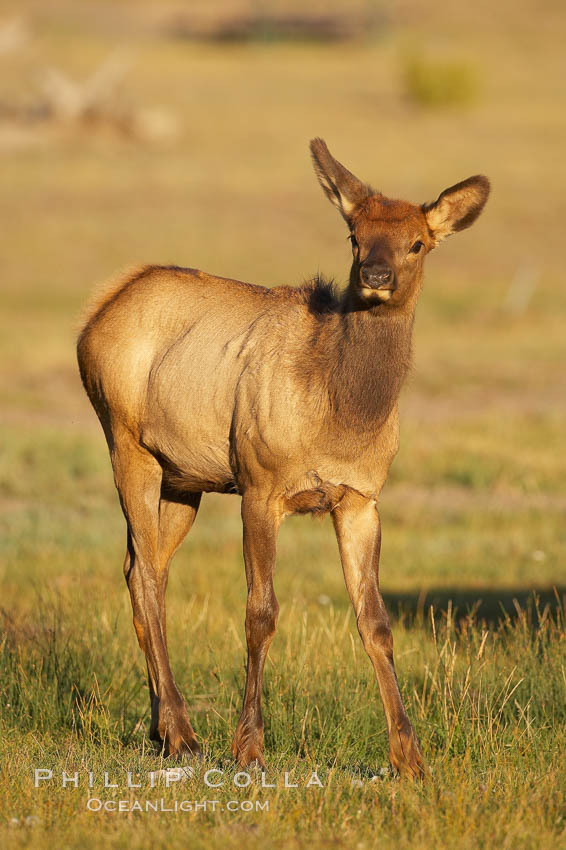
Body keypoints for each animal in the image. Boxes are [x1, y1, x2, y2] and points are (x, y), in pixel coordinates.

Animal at [77, 137, 490, 776]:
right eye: (354, 235)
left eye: (417, 242)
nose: (375, 274)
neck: (343, 417)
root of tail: (95, 315)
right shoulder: (259, 485)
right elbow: (261, 612)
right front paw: (249, 746)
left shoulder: (361, 499)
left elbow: (376, 621)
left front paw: (410, 758)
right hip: (127, 445)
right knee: (144, 573)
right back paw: (183, 733)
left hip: (183, 478)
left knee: (141, 569)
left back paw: (159, 727)